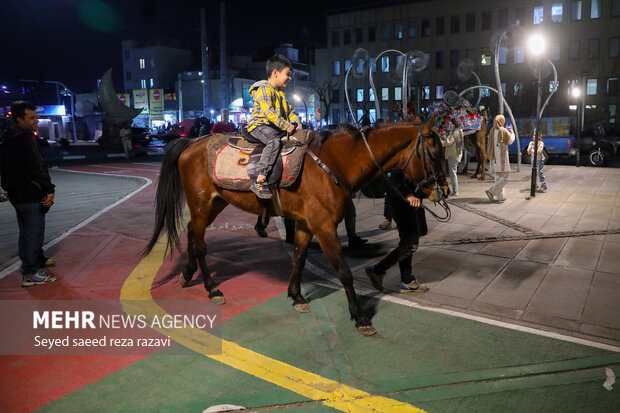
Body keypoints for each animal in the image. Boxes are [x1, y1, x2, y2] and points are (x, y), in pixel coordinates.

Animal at [143, 116, 448, 334]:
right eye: (434, 152)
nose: (443, 190)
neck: (333, 165)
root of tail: (191, 144)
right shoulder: (324, 227)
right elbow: (344, 272)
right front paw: (360, 316)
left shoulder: (305, 224)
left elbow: (299, 258)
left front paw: (296, 296)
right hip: (201, 204)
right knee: (201, 244)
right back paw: (212, 288)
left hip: (215, 203)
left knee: (193, 235)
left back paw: (187, 274)